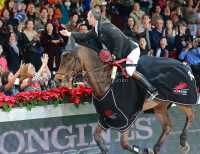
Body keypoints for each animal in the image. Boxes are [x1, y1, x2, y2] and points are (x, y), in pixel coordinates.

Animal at [53, 38, 198, 154]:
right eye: (61, 58)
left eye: (69, 58)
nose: (58, 80)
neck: (105, 83)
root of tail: (185, 66)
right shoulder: (107, 116)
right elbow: (96, 136)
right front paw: (105, 149)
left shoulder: (125, 117)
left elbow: (124, 144)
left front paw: (144, 150)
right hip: (160, 105)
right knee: (168, 125)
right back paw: (156, 148)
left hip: (180, 99)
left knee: (191, 113)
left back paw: (183, 143)